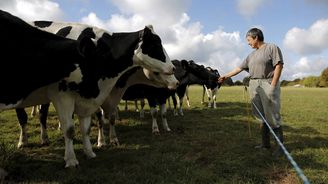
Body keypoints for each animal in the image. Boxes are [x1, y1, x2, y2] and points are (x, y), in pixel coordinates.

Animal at [0, 10, 177, 168]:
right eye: (155, 45)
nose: (173, 70)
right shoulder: (63, 94)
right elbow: (72, 128)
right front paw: (73, 158)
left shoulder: (91, 97)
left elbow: (90, 126)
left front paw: (93, 150)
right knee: (24, 118)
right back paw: (24, 141)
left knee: (42, 115)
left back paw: (43, 138)